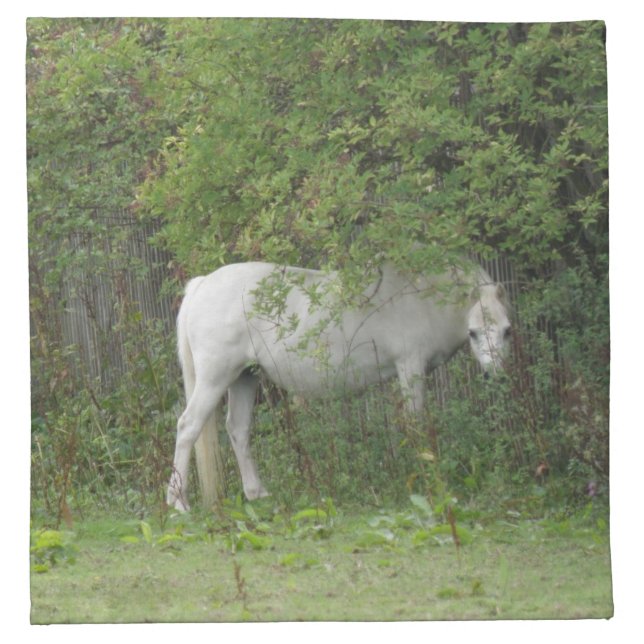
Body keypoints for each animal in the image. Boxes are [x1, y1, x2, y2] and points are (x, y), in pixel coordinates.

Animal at [167, 260, 512, 511]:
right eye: (473, 333)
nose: (496, 376)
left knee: (238, 429)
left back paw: (257, 494)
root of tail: (202, 284)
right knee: (188, 426)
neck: (421, 297)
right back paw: (178, 503)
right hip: (215, 378)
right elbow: (414, 424)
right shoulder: (410, 367)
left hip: (244, 377)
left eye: (507, 330)